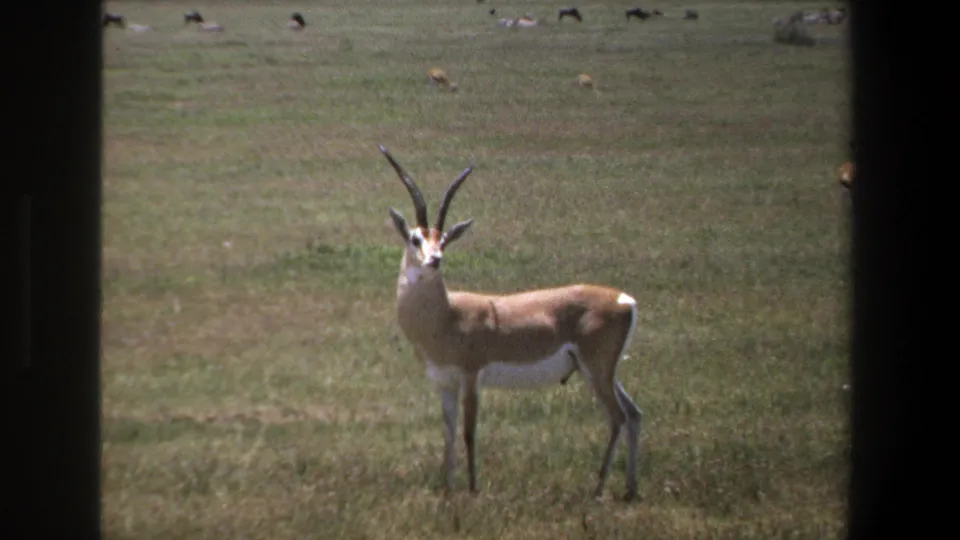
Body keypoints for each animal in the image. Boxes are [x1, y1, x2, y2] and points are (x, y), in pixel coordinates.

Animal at [379, 145, 644, 500]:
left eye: (444, 240)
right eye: (415, 239)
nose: (435, 260)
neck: (447, 316)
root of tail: (624, 300)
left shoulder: (471, 376)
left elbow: (469, 432)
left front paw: (473, 489)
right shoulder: (445, 383)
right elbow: (448, 433)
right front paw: (448, 488)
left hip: (596, 369)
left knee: (617, 417)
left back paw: (598, 487)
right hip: (603, 372)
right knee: (634, 414)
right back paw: (629, 488)